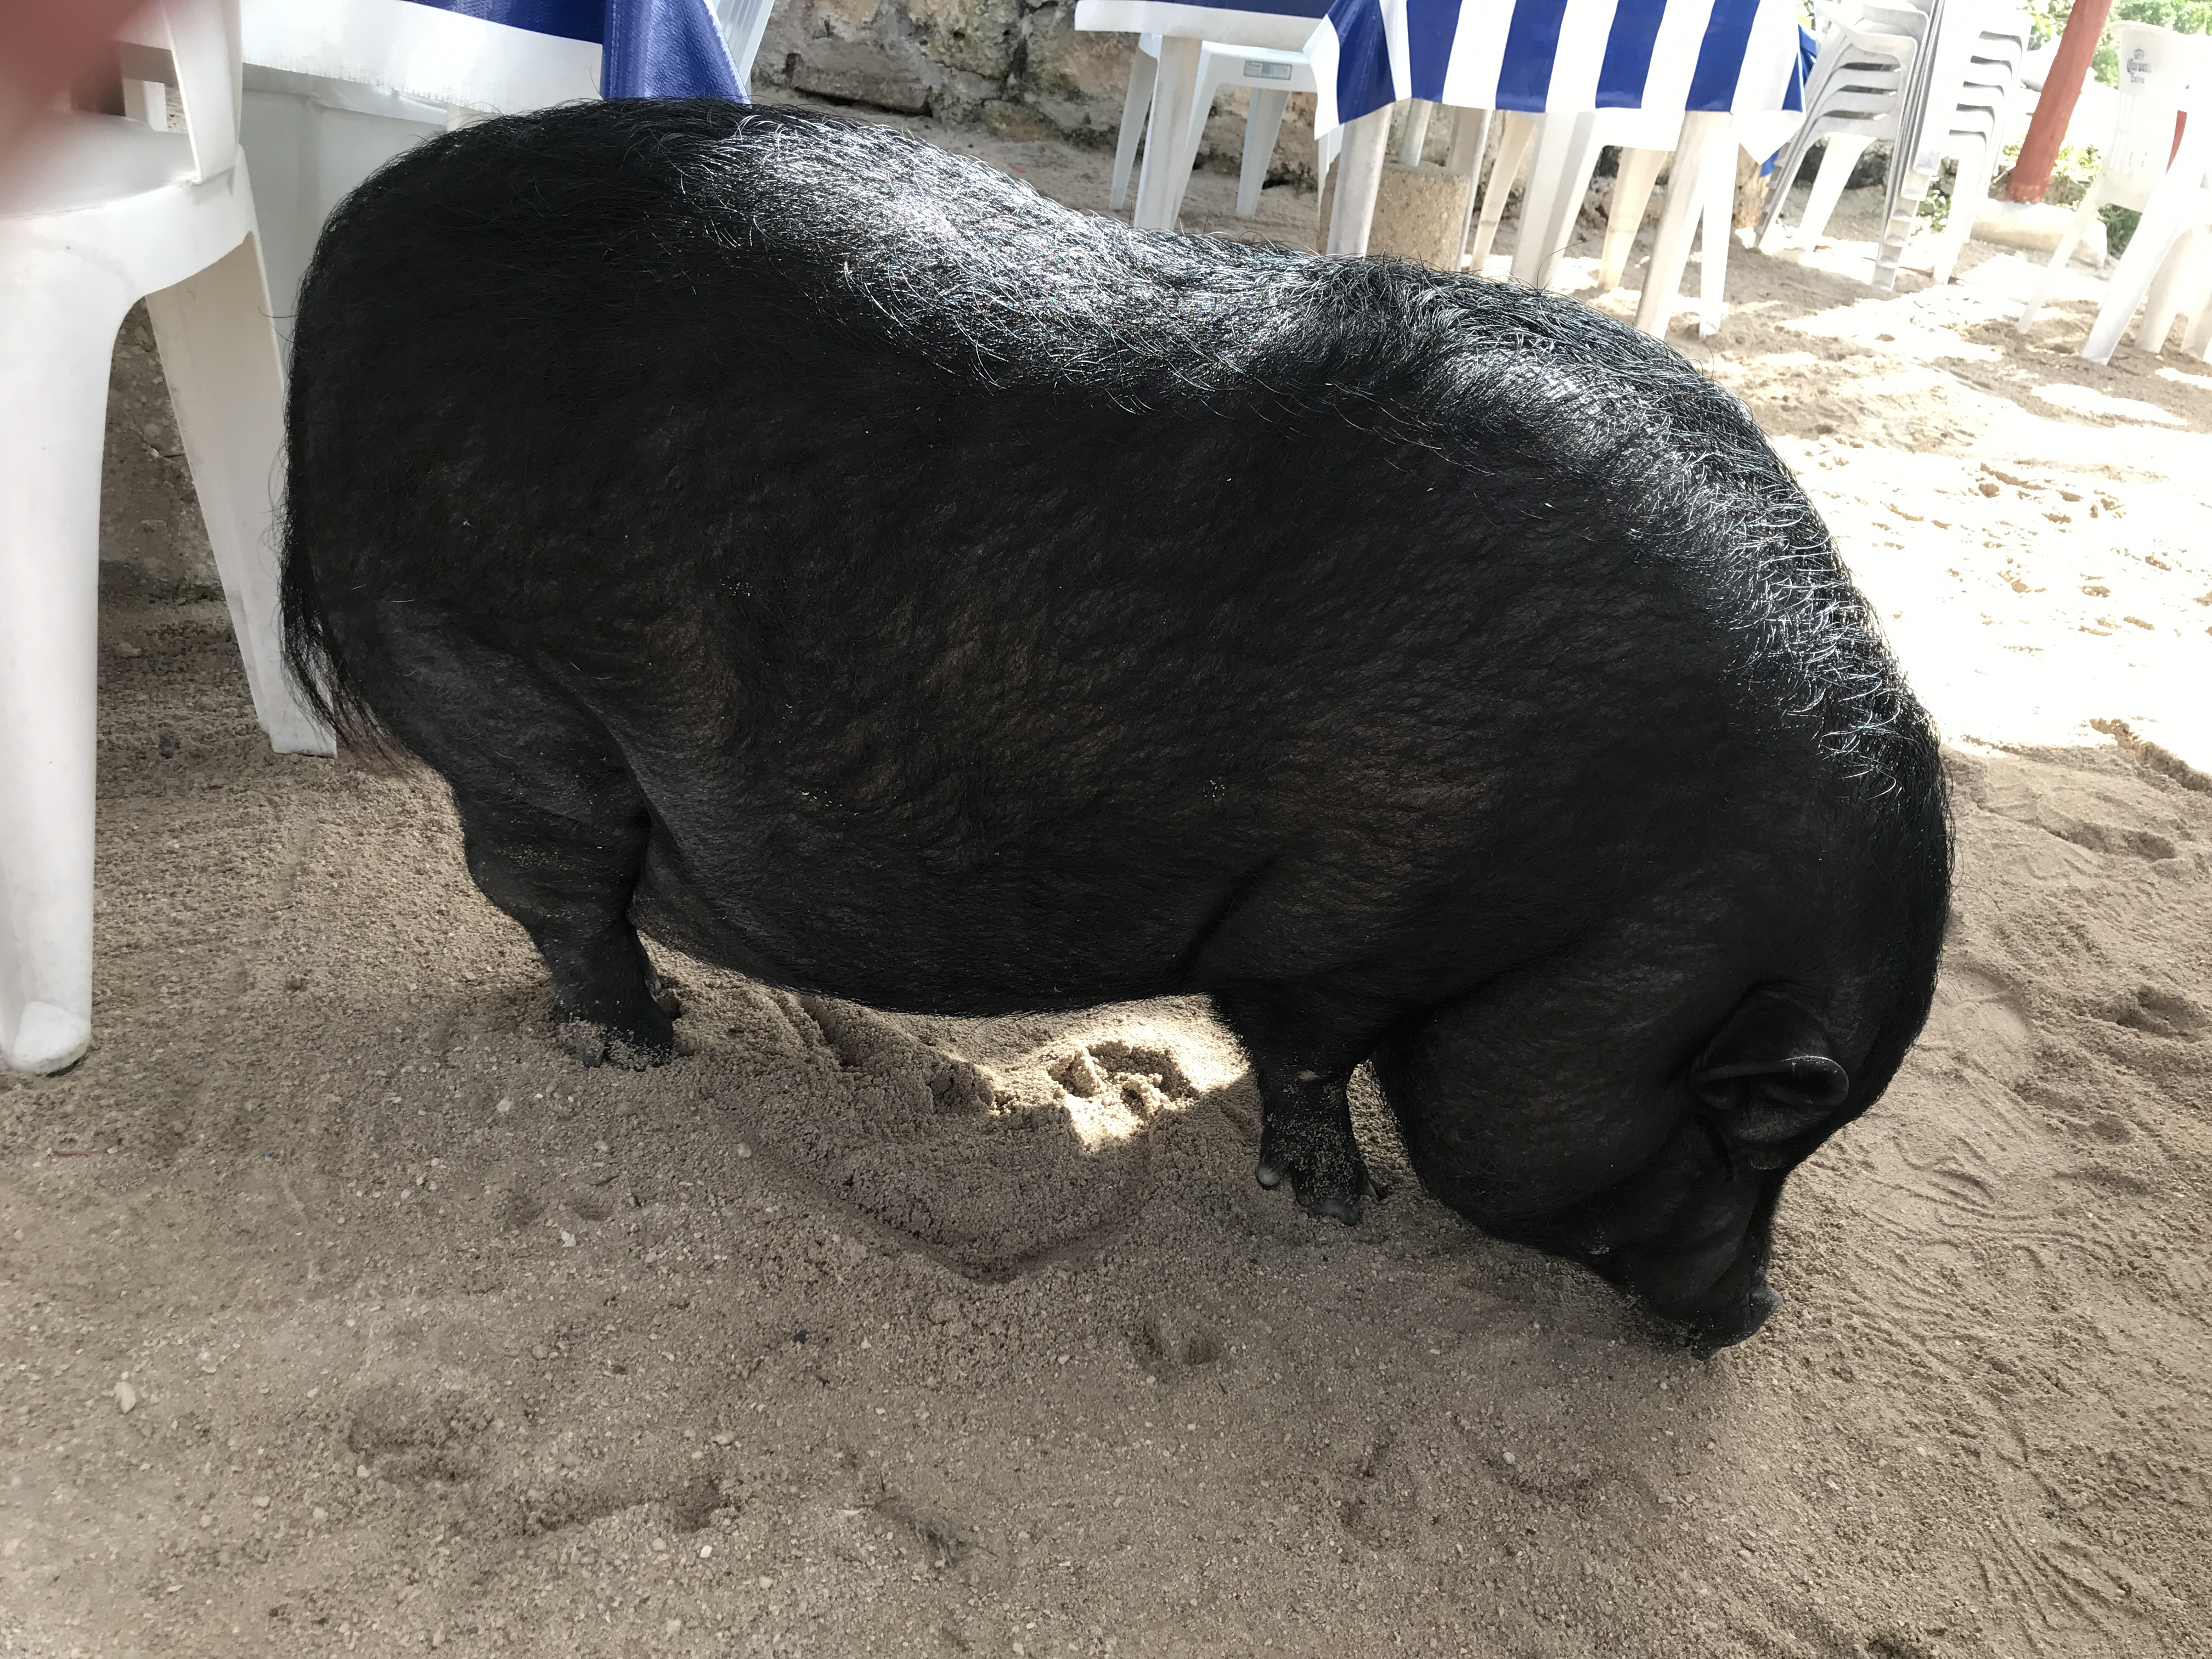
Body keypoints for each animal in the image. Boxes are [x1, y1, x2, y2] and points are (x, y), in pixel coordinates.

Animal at [279, 101, 1950, 1350]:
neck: (1627, 908)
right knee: (552, 885)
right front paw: (1340, 1208)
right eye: (1754, 1127)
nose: (1752, 1312)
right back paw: (644, 1045)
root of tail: (341, 263)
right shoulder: (1345, 928)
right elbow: (1308, 1058)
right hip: (500, 684)